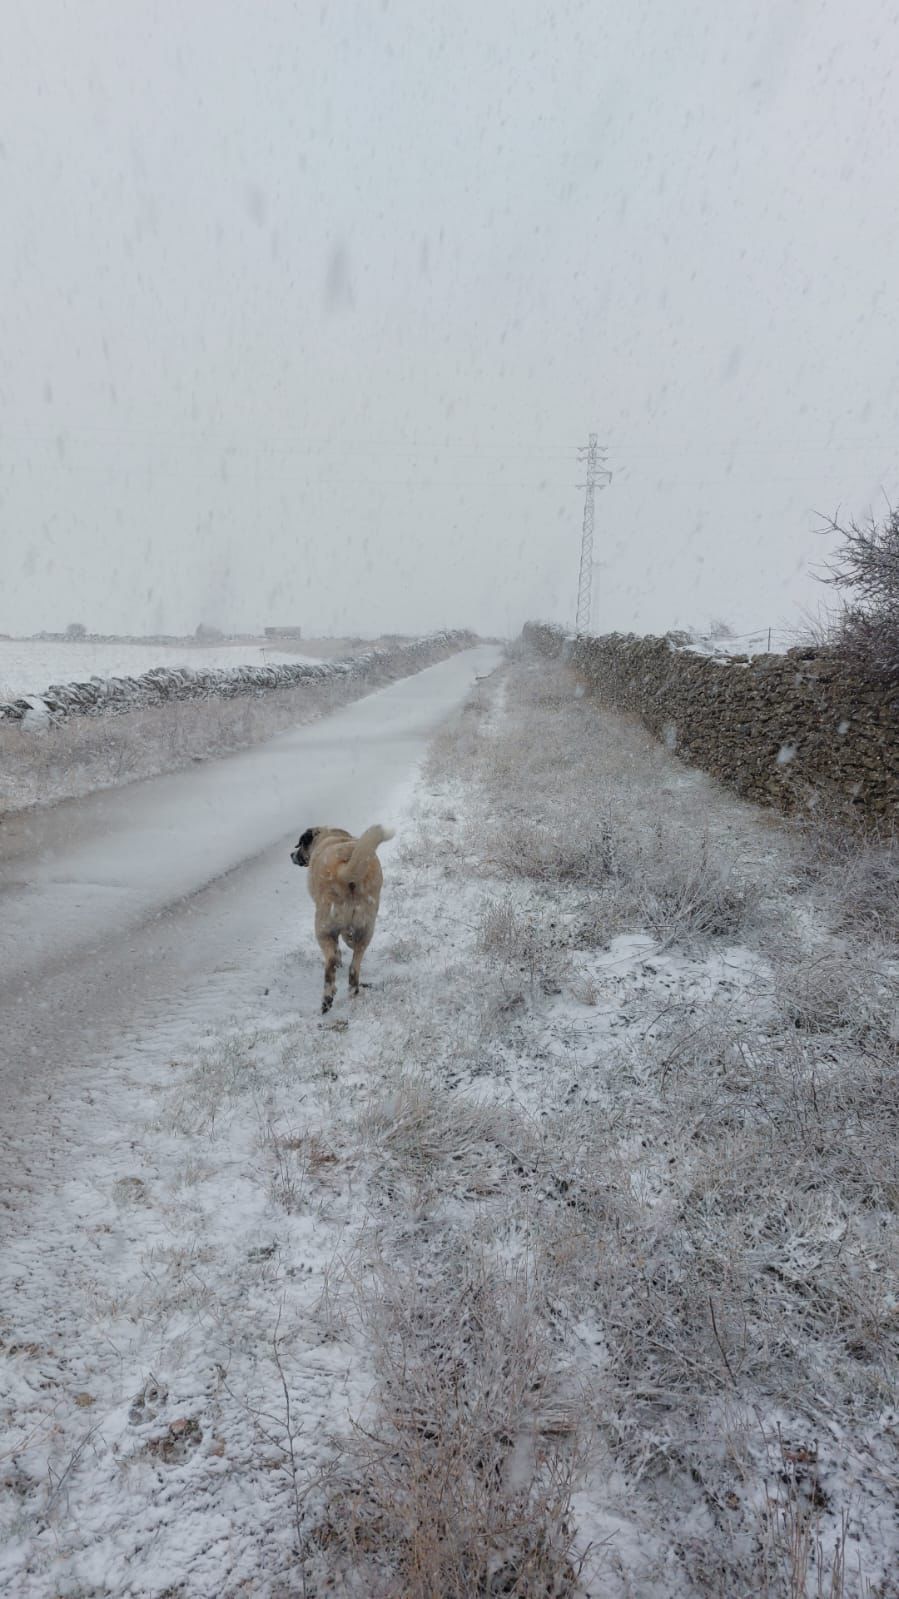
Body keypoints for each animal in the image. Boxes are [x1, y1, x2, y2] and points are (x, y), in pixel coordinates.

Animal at [291, 825, 391, 1010]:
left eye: (301, 844)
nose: (291, 855)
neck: (330, 835)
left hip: (323, 927)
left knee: (330, 961)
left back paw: (327, 998)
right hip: (367, 925)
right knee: (355, 963)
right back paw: (353, 990)